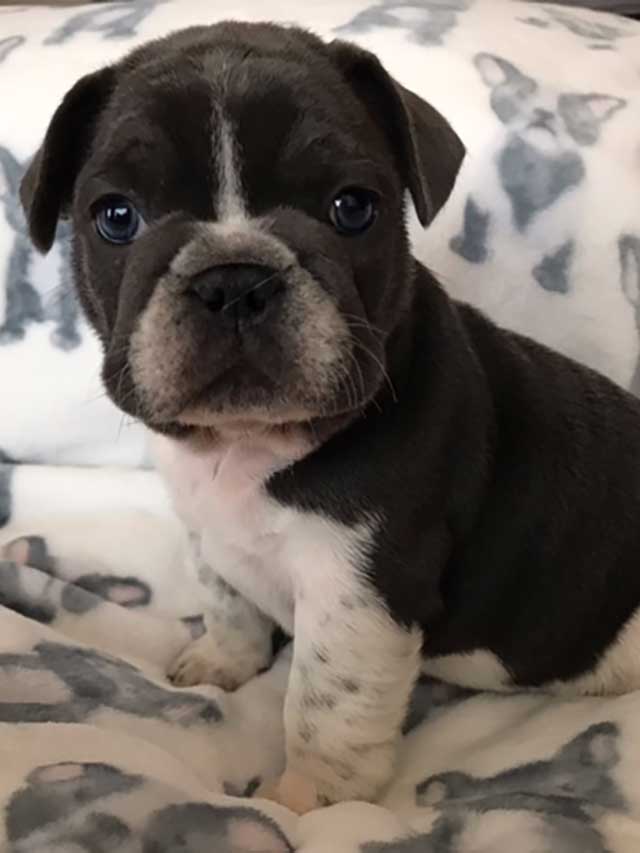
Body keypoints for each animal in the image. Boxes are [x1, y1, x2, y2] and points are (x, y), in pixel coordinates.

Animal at [20, 21, 640, 812]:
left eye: (352, 208)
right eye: (116, 217)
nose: (233, 280)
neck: (245, 445)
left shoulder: (359, 591)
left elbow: (322, 705)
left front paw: (303, 805)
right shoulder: (209, 530)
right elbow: (227, 601)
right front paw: (221, 663)